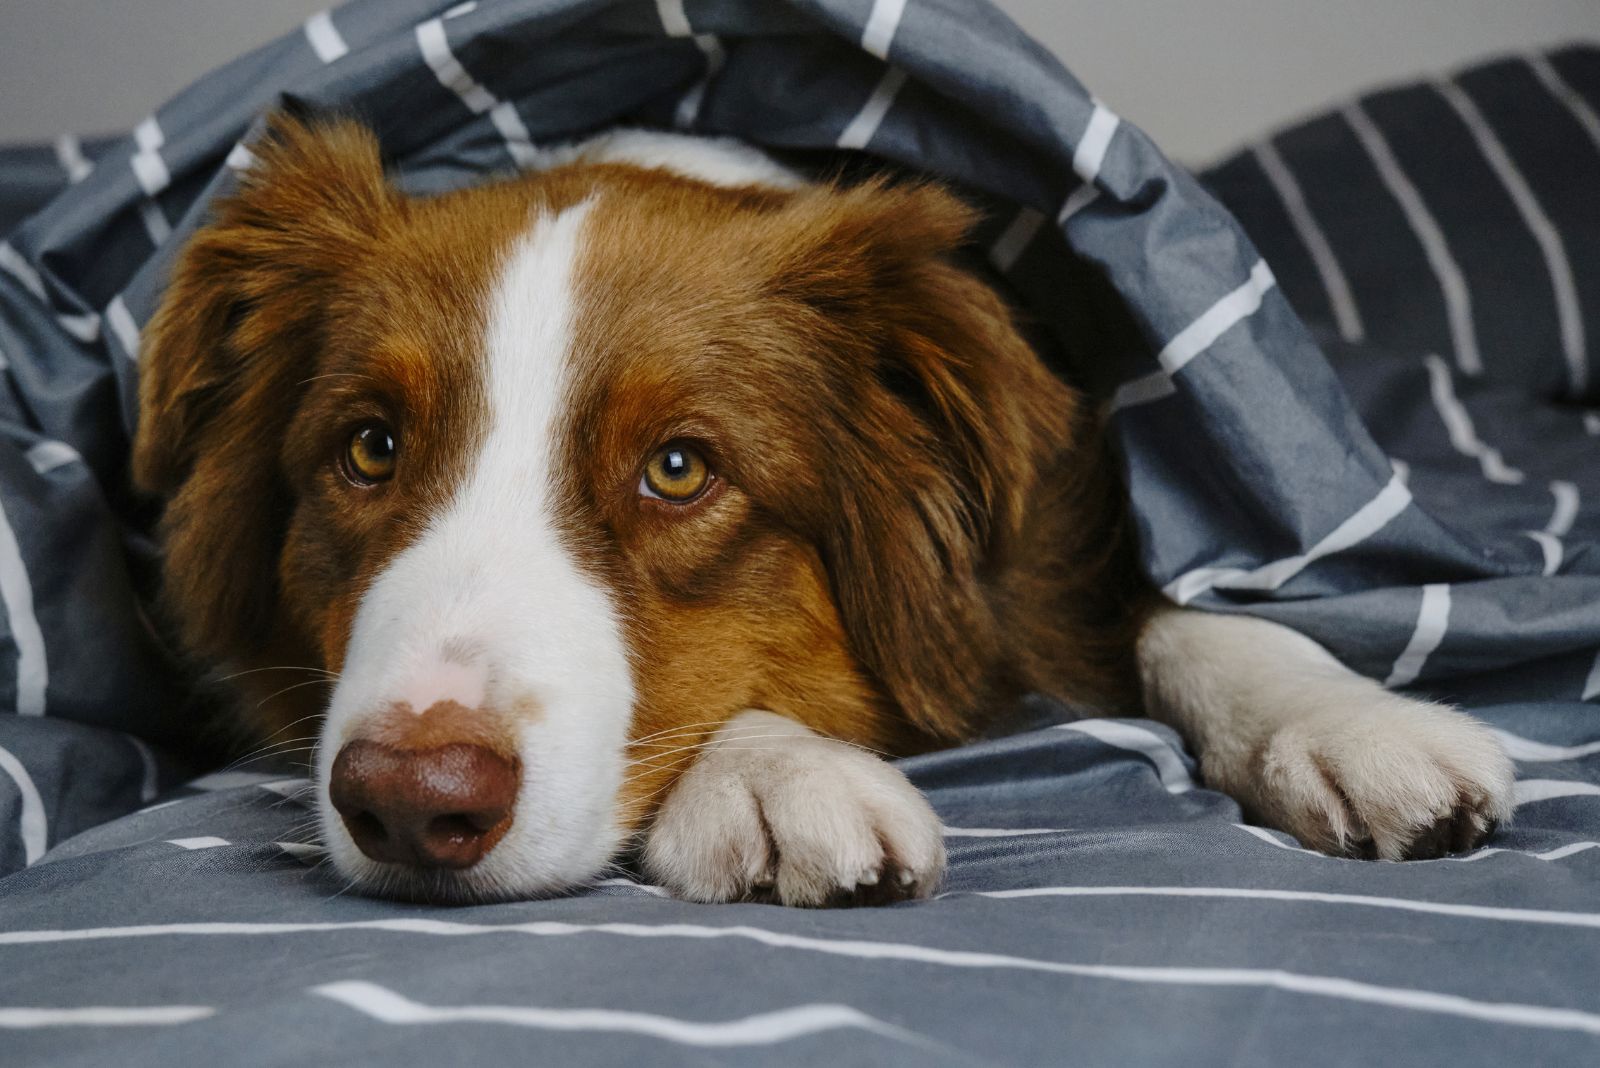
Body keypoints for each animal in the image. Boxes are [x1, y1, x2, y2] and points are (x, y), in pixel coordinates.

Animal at [128, 115, 1510, 901]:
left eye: (679, 469)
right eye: (368, 448)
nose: (414, 802)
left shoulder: (1052, 562)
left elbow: (1178, 613)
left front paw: (1347, 725)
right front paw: (774, 771)